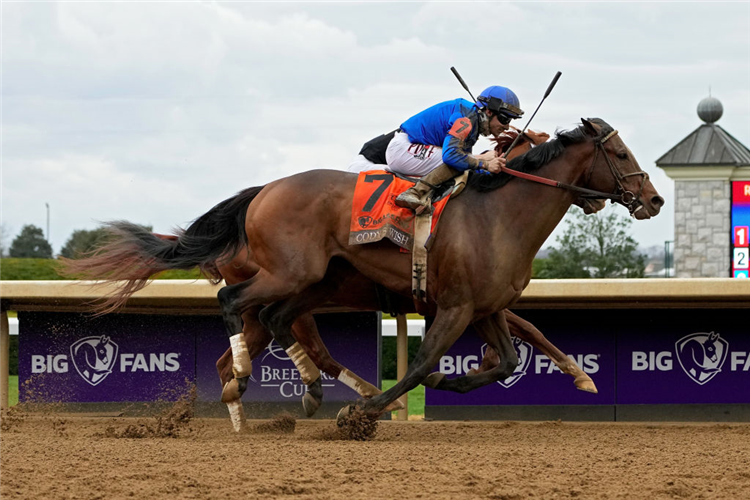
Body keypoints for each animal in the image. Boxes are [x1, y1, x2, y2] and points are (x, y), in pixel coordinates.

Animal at [64, 118, 664, 422]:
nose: (654, 199)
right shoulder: (455, 306)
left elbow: (512, 355)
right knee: (236, 309)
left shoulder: (486, 305)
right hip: (289, 276)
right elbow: (421, 363)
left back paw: (270, 397)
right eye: (622, 154)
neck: (497, 213)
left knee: (264, 335)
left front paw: (462, 377)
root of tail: (265, 190)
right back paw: (267, 385)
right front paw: (368, 411)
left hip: (305, 288)